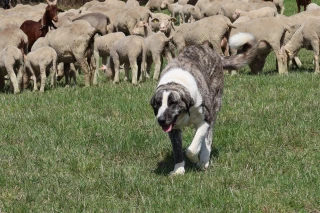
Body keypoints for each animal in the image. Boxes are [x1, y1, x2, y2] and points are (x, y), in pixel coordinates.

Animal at [149, 32, 258, 176]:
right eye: (157, 104)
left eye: (173, 103)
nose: (161, 120)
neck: (175, 82)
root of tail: (214, 53)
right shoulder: (173, 129)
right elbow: (178, 150)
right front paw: (178, 169)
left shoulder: (205, 120)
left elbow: (191, 149)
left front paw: (197, 159)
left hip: (214, 106)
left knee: (208, 137)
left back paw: (204, 159)